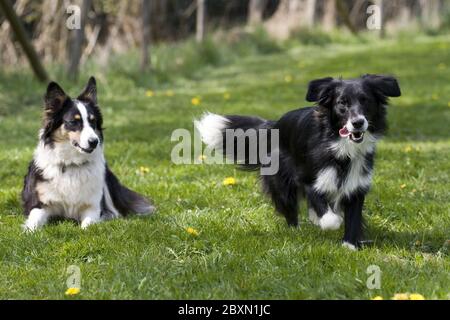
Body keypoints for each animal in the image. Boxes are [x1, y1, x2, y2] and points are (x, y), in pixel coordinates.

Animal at [22, 77, 155, 231]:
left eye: (93, 122)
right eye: (74, 122)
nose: (94, 142)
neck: (72, 163)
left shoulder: (93, 207)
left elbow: (88, 225)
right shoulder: (40, 204)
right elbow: (34, 220)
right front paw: (29, 232)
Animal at [196, 74, 400, 250]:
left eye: (365, 100)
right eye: (342, 103)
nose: (358, 123)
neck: (340, 148)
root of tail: (273, 125)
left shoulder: (356, 183)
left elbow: (353, 217)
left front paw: (349, 246)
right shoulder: (309, 178)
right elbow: (330, 217)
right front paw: (326, 221)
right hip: (281, 179)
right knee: (289, 207)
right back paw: (296, 229)